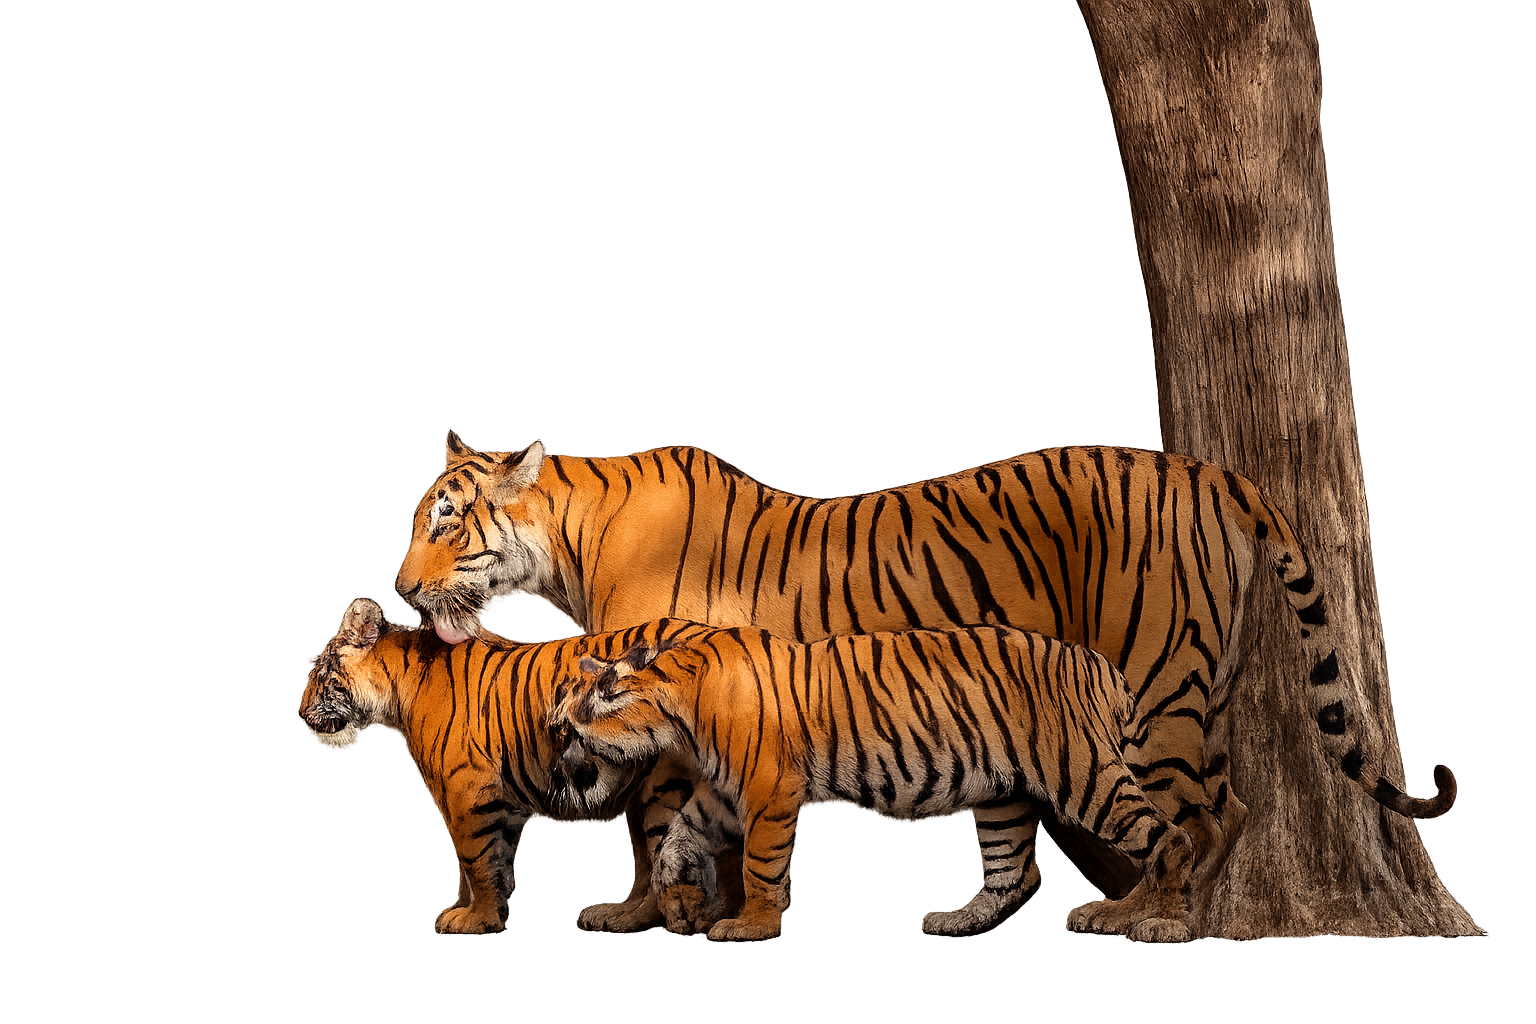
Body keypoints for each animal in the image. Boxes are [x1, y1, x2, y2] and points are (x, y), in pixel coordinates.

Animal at [297, 597, 719, 933]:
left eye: (320, 674)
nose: (301, 714)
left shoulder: (467, 787)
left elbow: (475, 857)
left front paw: (475, 919)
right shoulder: (502, 799)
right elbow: (493, 859)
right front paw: (478, 911)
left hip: (659, 787)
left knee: (663, 860)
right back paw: (617, 914)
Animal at [551, 624, 1198, 942]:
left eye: (565, 733)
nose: (557, 779)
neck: (676, 708)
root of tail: (1099, 662)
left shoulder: (767, 790)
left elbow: (761, 864)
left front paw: (753, 926)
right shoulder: (724, 794)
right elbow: (678, 835)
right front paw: (673, 890)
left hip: (1082, 774)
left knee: (1168, 838)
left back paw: (1159, 923)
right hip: (1004, 794)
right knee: (1015, 873)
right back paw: (972, 920)